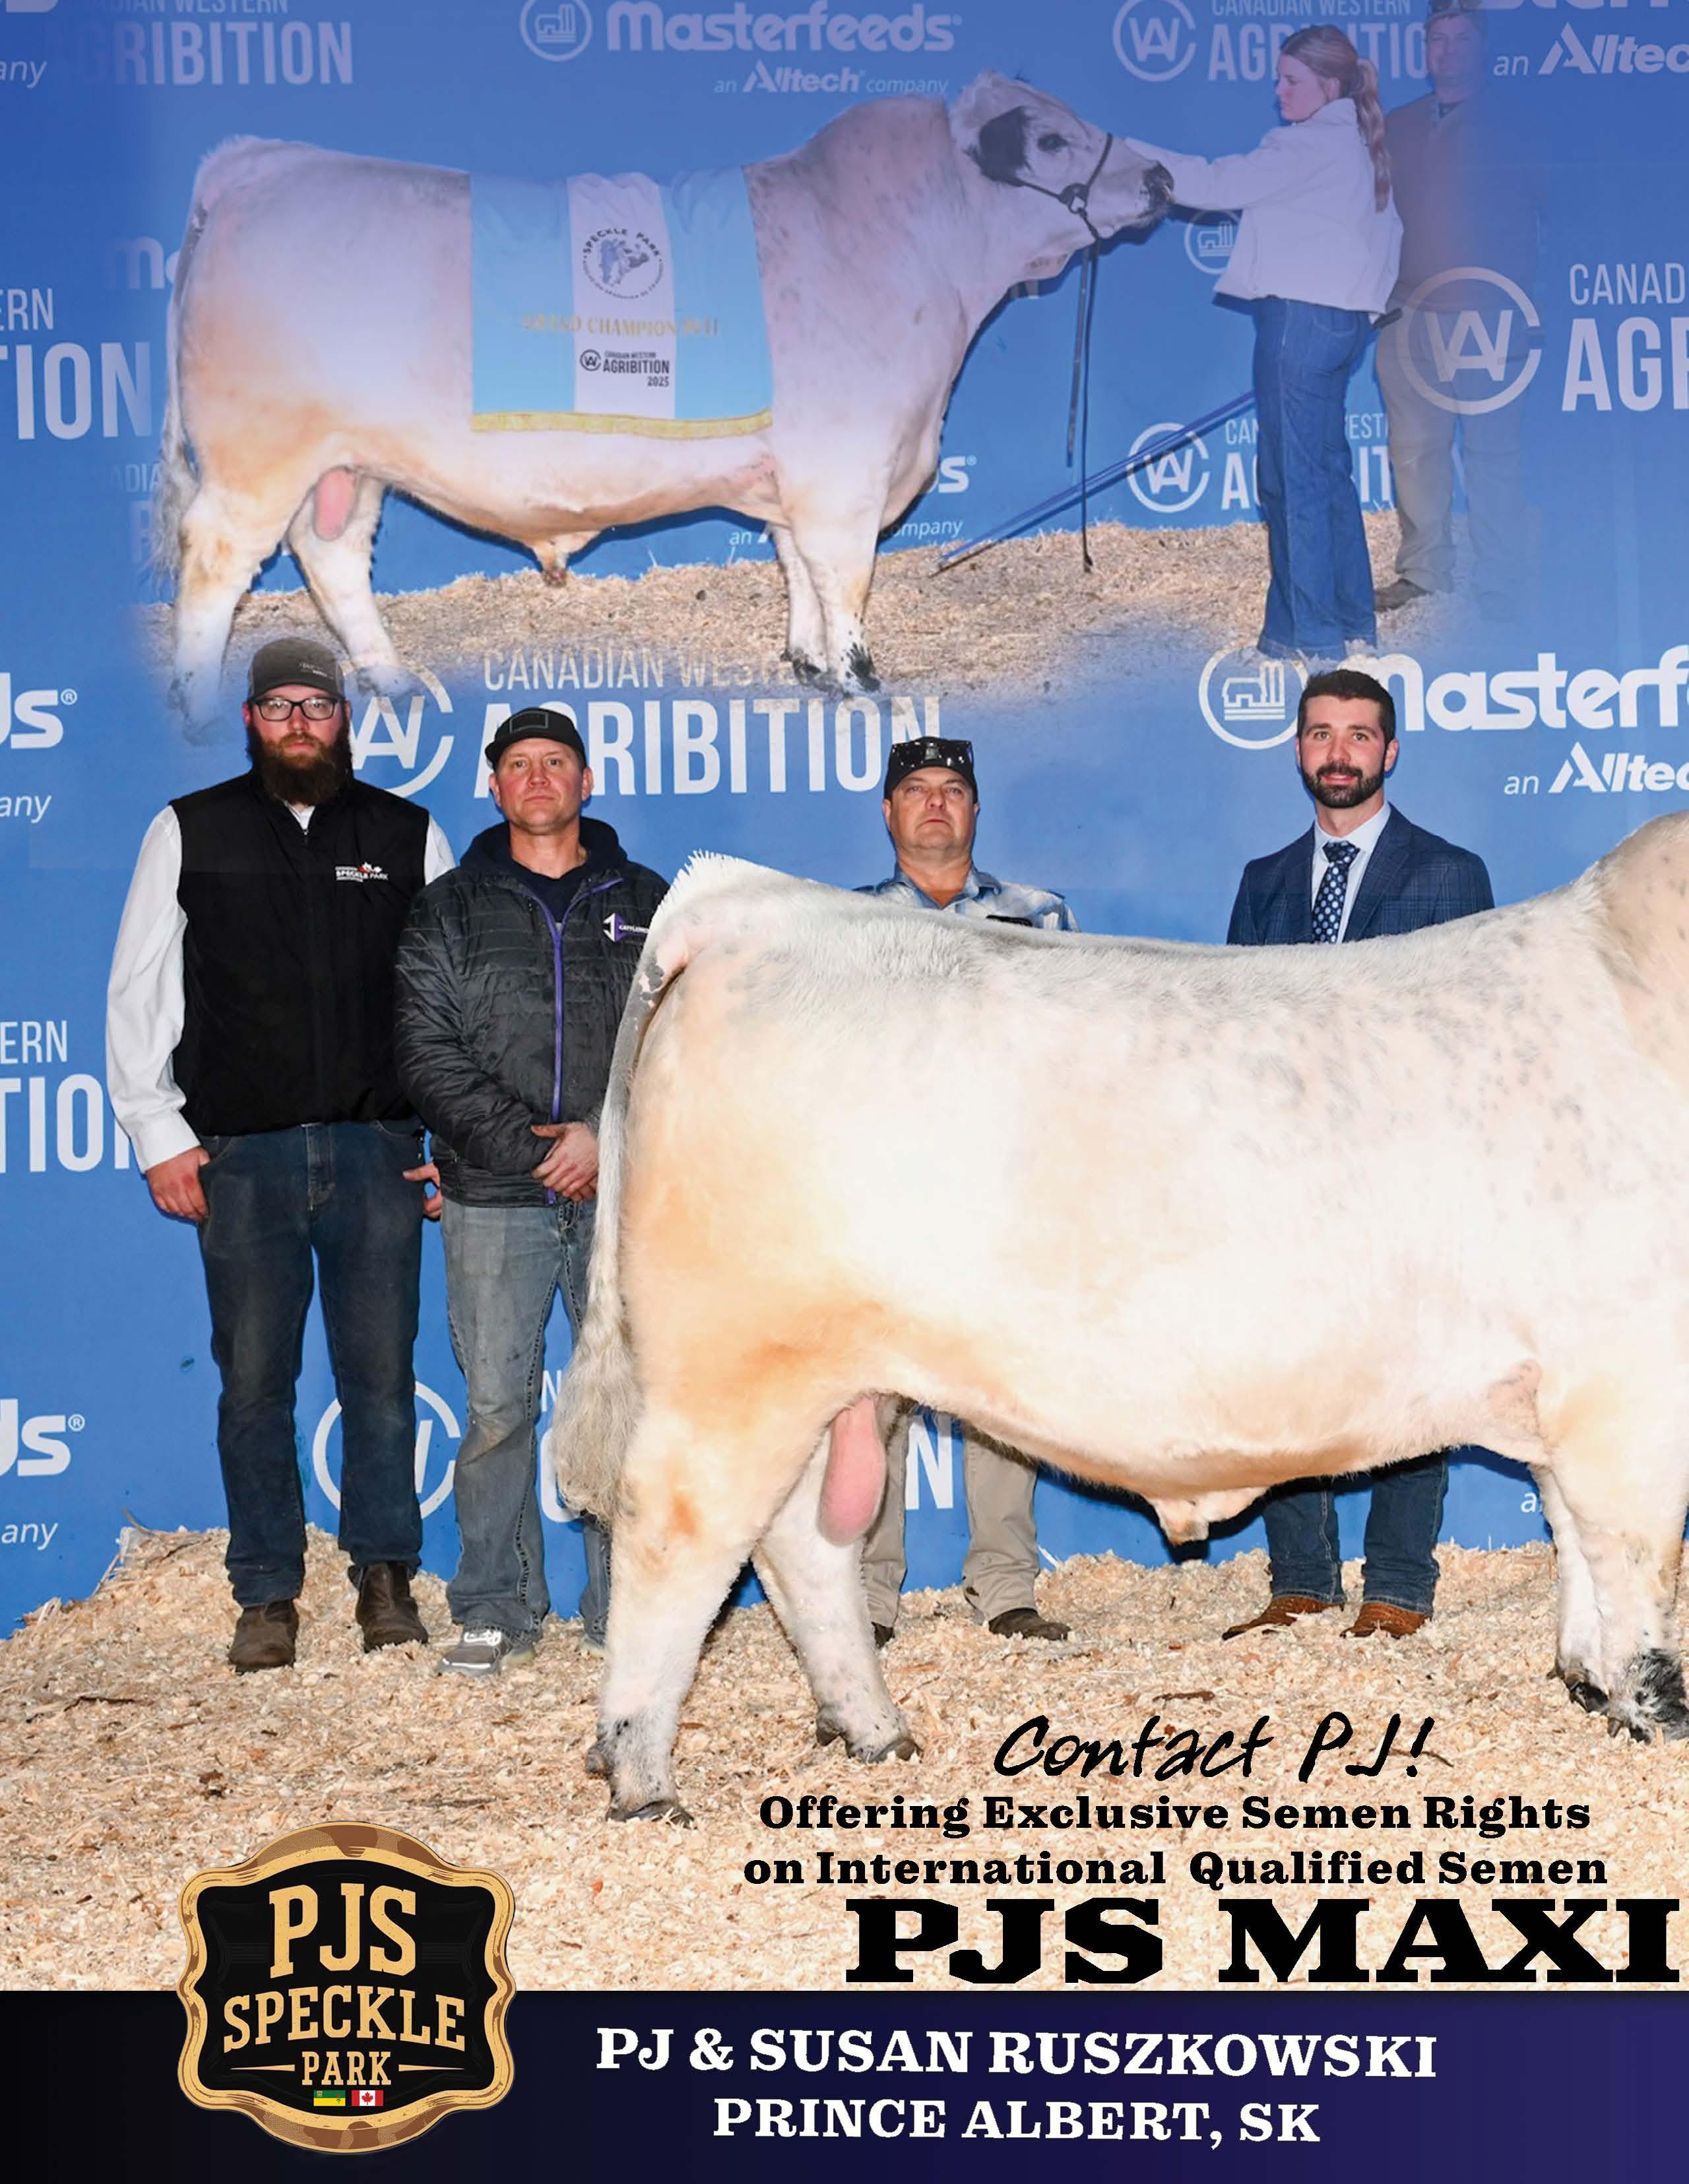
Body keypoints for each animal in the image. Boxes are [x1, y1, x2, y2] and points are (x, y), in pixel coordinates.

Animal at [154, 78, 1171, 737]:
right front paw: (863, 684)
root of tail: (259, 165)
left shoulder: (797, 480)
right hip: (260, 452)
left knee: (332, 557)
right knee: (215, 561)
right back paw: (200, 714)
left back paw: (396, 685)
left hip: (350, 463)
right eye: (1049, 140)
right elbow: (843, 577)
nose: (1162, 178)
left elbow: (799, 569)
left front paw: (810, 668)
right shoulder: (846, 472)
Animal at [546, 818, 1689, 1822]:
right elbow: (1635, 1547)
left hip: (837, 1380)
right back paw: (643, 1773)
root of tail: (752, 909)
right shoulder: (1627, 1379)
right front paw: (1656, 1708)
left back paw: (873, 1727)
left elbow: (1577, 1534)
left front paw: (1592, 1684)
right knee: (679, 1530)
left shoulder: (1567, 1381)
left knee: (802, 1542)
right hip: (734, 1369)